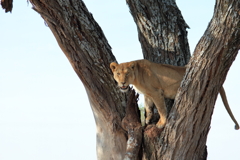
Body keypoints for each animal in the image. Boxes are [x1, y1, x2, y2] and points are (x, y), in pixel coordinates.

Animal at [109, 59, 239, 129]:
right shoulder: (148, 94)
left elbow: (161, 109)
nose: (123, 82)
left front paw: (161, 123)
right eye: (118, 74)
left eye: (127, 73)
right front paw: (148, 119)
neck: (136, 76)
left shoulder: (156, 92)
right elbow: (148, 107)